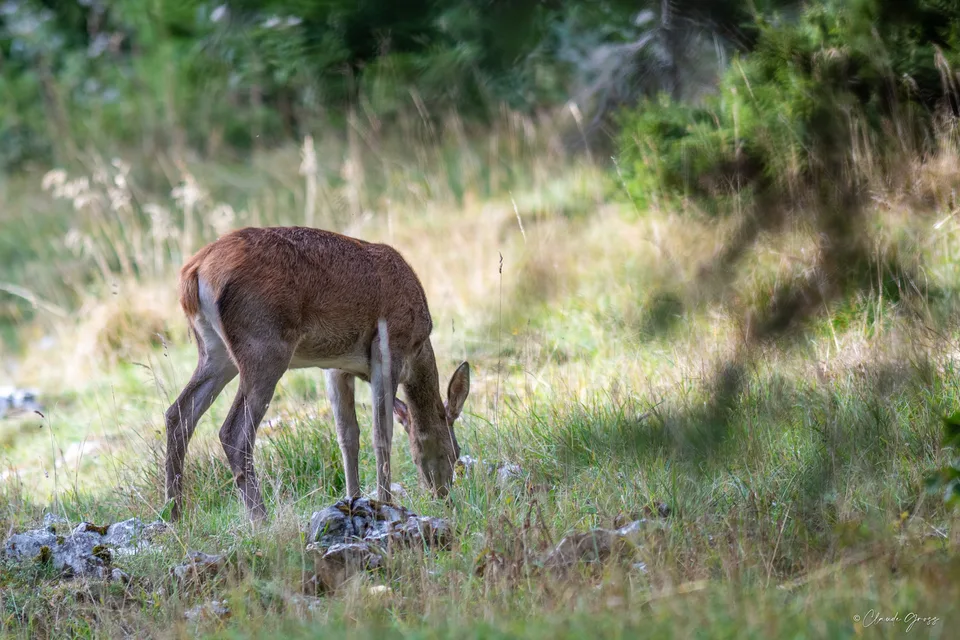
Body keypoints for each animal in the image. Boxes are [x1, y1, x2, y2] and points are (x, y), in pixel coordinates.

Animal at [163, 226, 471, 522]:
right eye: (455, 452)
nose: (443, 495)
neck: (418, 350)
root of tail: (193, 272)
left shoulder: (337, 366)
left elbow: (348, 436)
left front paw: (354, 499)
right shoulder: (388, 348)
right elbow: (381, 434)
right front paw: (386, 503)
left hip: (214, 352)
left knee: (178, 414)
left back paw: (175, 516)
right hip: (264, 347)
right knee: (234, 432)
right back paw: (260, 520)